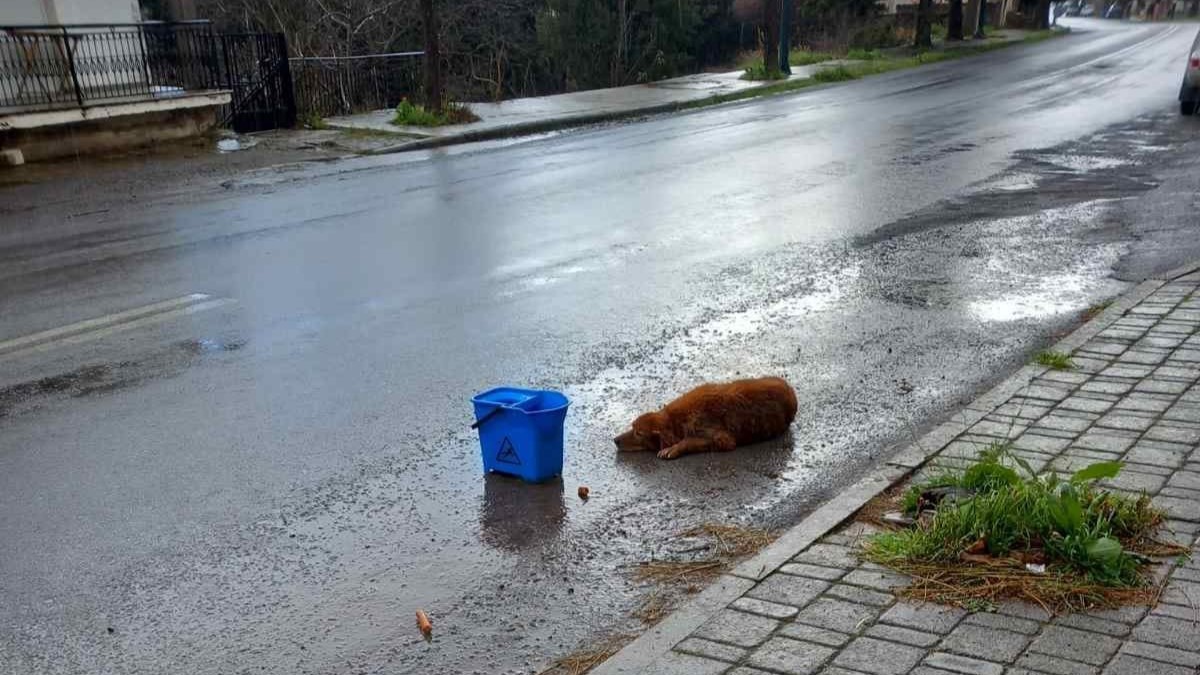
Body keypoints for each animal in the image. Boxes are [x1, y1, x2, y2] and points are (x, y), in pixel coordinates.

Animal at [619, 374, 796, 458]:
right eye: (632, 427)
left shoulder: (720, 437)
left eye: (638, 433)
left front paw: (673, 448)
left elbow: (689, 441)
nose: (615, 440)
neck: (674, 420)